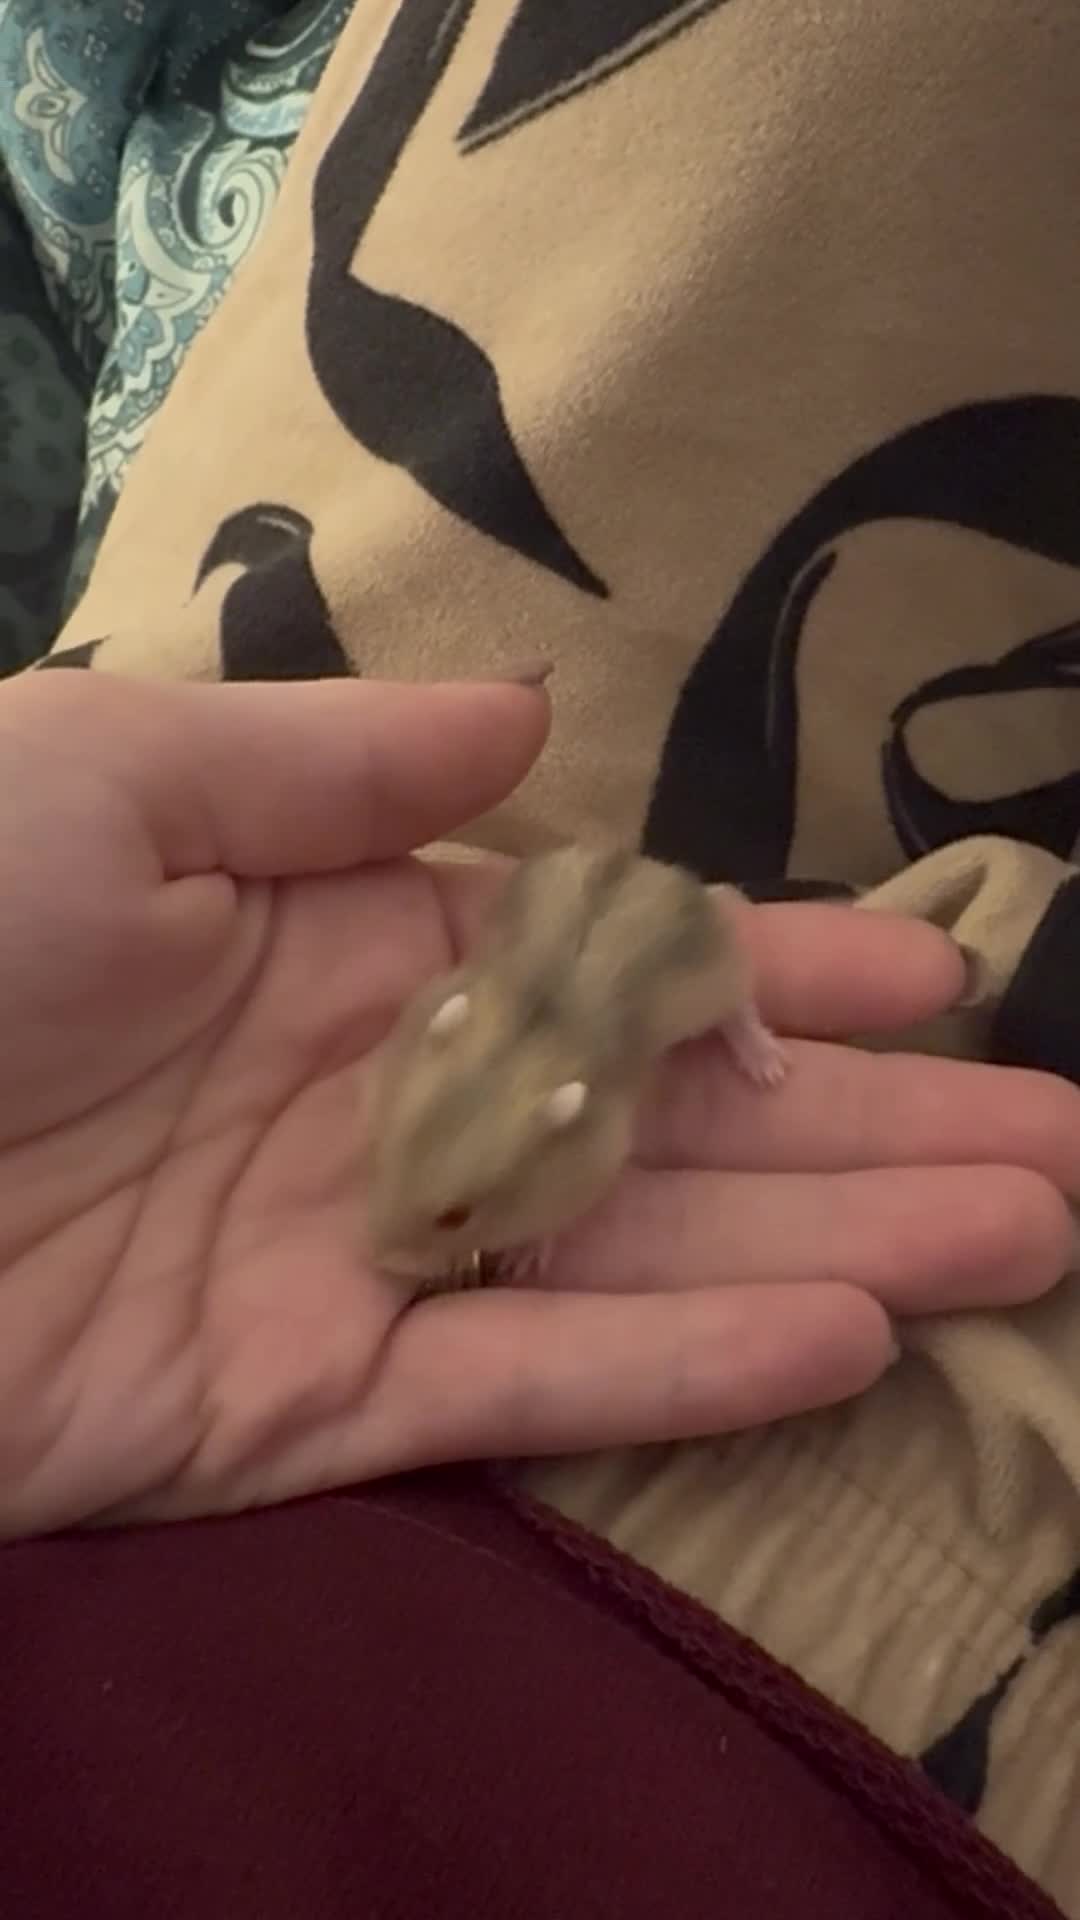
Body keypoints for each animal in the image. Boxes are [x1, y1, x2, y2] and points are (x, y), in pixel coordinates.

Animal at [364, 845, 788, 1286]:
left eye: (456, 1217)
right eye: (384, 1160)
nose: (377, 1261)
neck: (518, 1048)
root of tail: (651, 866)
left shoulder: (593, 1165)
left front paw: (522, 1260)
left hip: (716, 976)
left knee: (738, 1008)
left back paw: (767, 1067)